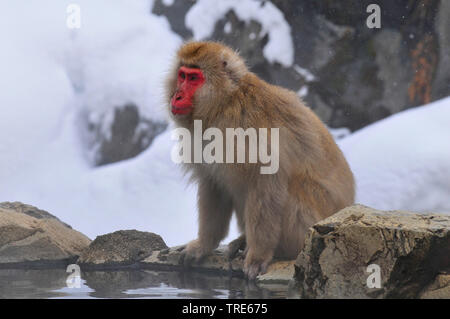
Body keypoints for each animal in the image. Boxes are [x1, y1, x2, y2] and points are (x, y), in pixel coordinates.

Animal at [165, 40, 356, 280]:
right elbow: (214, 184)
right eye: (182, 75)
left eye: (193, 78)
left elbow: (266, 185)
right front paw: (203, 245)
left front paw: (257, 256)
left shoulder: (248, 130)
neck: (224, 103)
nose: (177, 95)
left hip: (312, 225)